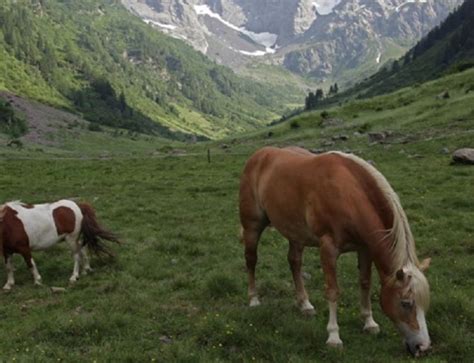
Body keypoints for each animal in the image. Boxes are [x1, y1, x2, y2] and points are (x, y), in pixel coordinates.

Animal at [239, 146, 432, 356]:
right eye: (406, 303)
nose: (423, 347)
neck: (348, 195)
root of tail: (259, 155)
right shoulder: (328, 249)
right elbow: (332, 291)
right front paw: (333, 337)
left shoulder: (364, 249)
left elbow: (365, 283)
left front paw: (369, 323)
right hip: (252, 227)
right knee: (251, 260)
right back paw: (253, 299)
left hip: (295, 233)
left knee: (294, 262)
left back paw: (304, 304)